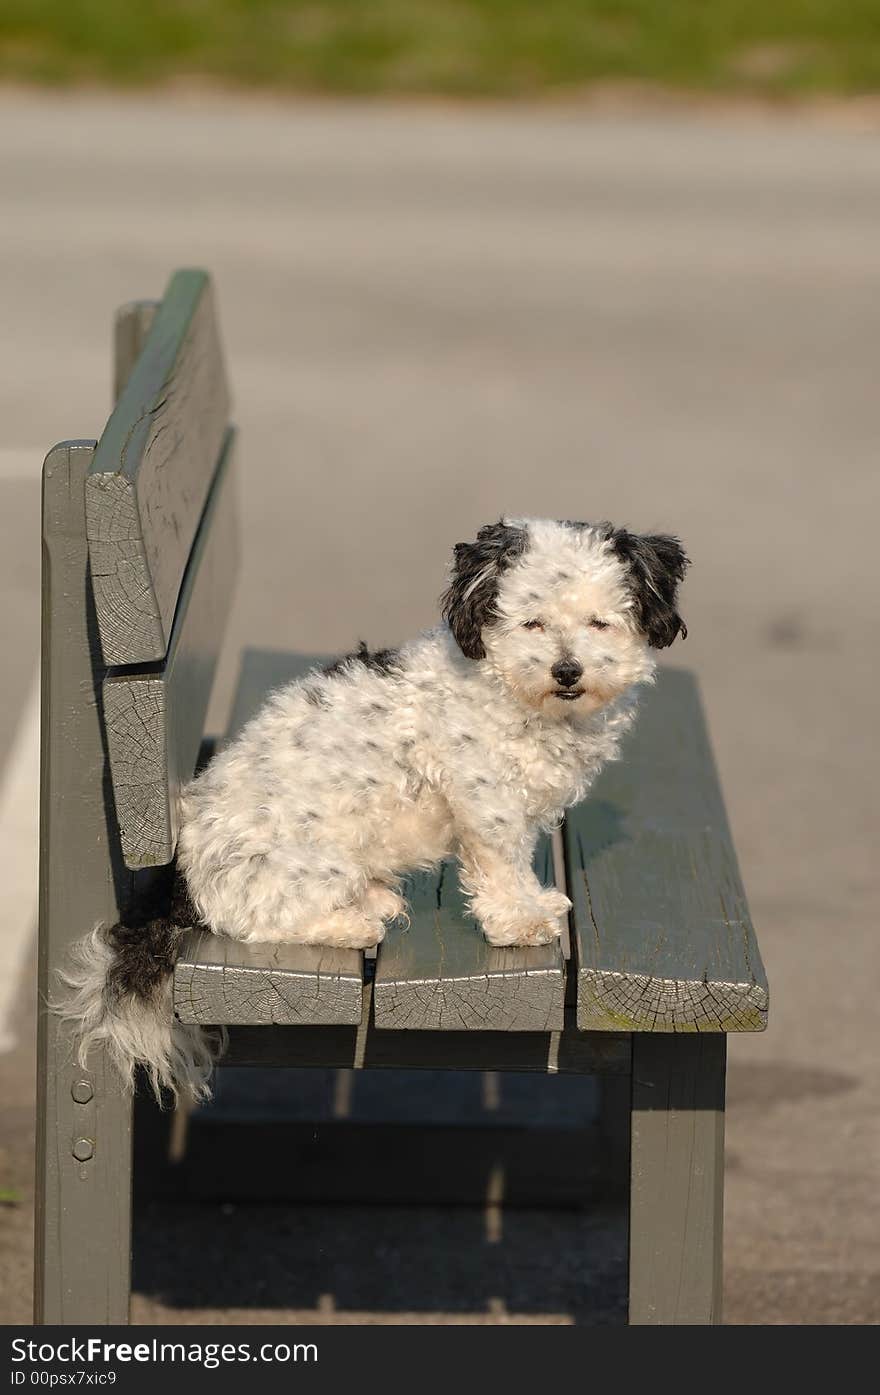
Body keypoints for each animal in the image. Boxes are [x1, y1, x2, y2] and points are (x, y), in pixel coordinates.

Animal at [56, 516, 688, 1099]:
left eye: (599, 622)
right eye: (533, 622)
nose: (567, 670)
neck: (516, 693)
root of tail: (184, 881)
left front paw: (533, 903)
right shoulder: (487, 802)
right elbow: (503, 866)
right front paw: (520, 919)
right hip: (316, 861)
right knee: (259, 919)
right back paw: (355, 921)